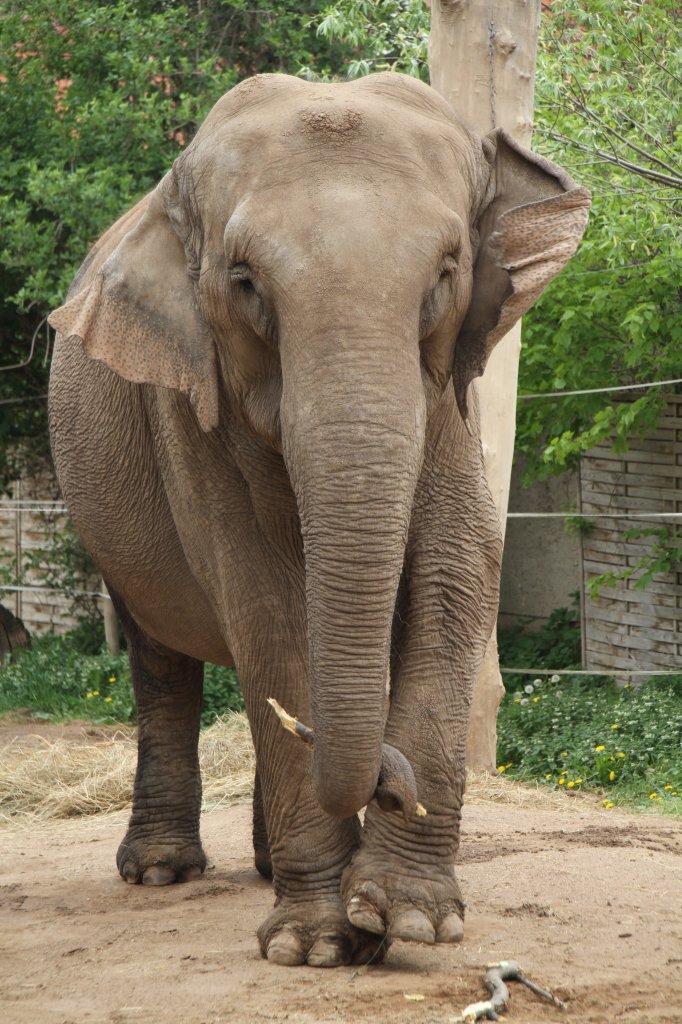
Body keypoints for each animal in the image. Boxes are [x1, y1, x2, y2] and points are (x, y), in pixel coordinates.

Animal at [49, 72, 589, 966]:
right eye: (244, 281)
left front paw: (409, 919)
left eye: (447, 272)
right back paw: (161, 871)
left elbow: (458, 569)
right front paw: (321, 945)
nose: (392, 786)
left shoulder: (449, 394)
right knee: (161, 655)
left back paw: (271, 867)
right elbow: (262, 604)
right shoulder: (192, 407)